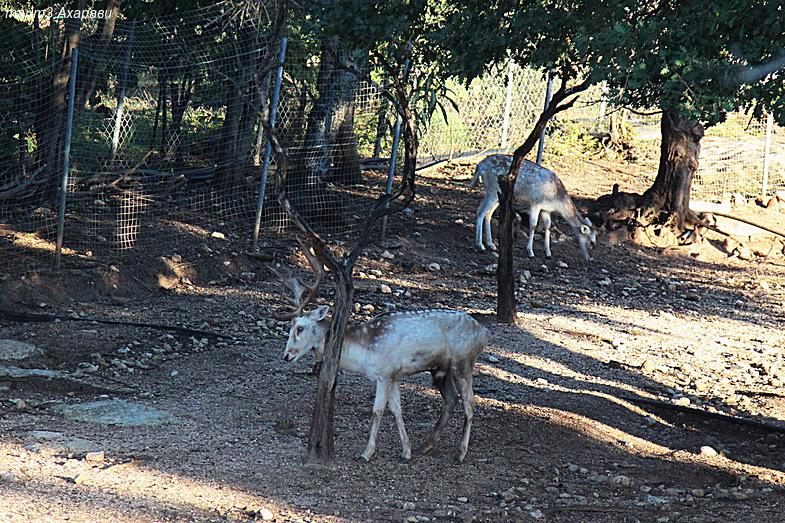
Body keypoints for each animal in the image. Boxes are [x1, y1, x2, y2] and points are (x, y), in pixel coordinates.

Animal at [272, 252, 486, 464]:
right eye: (291, 327)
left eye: (300, 329)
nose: (286, 355)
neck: (364, 353)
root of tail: (484, 332)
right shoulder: (394, 376)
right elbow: (396, 409)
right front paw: (406, 452)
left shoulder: (384, 374)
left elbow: (377, 411)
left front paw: (366, 453)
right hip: (441, 369)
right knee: (451, 399)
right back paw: (425, 445)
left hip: (463, 363)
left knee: (469, 403)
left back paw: (460, 453)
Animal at [468, 156, 596, 262]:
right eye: (591, 242)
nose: (590, 258)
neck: (556, 199)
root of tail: (480, 165)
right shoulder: (536, 202)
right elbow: (533, 225)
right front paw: (530, 252)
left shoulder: (546, 209)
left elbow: (548, 226)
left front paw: (548, 253)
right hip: (492, 189)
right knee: (480, 212)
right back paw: (480, 246)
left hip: (499, 195)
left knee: (488, 213)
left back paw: (491, 244)